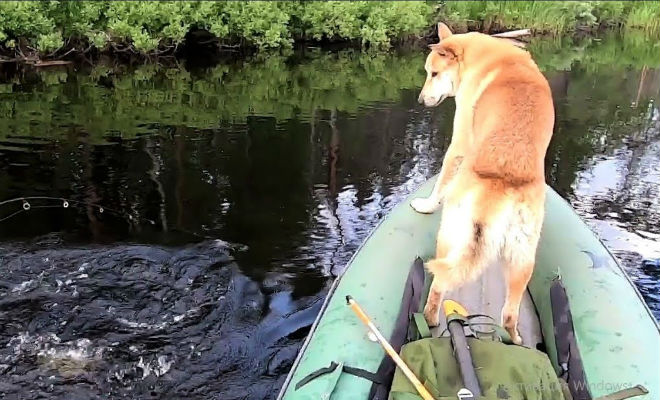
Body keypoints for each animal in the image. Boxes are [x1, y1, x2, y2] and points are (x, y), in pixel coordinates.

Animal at [416, 22, 556, 344]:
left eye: (433, 73)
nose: (420, 100)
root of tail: (499, 185)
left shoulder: (459, 142)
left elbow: (441, 183)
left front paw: (426, 205)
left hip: (449, 238)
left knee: (438, 288)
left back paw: (430, 320)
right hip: (522, 259)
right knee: (509, 315)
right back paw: (516, 342)